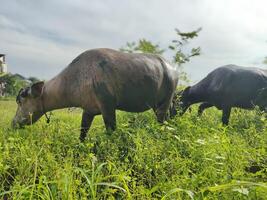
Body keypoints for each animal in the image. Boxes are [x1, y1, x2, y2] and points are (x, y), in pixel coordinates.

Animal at [11, 48, 179, 141]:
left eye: (20, 101)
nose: (13, 123)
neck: (77, 77)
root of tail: (171, 68)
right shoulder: (88, 110)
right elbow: (82, 134)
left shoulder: (108, 107)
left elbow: (111, 132)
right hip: (159, 105)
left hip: (165, 102)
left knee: (162, 122)